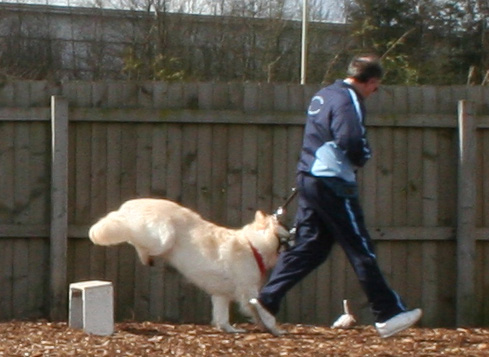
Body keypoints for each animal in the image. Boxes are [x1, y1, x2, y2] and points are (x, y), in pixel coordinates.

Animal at [88, 197, 290, 330]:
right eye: (286, 233)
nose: (295, 237)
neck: (253, 245)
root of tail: (131, 204)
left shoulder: (221, 294)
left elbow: (222, 316)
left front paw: (229, 329)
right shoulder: (249, 292)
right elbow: (265, 312)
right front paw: (275, 329)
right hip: (164, 238)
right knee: (138, 242)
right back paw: (146, 256)